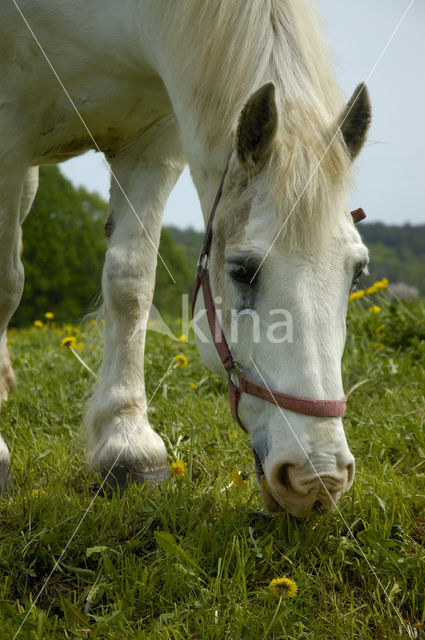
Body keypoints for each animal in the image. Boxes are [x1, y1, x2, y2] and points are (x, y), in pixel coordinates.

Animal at [0, 0, 368, 516]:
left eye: (357, 273)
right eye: (242, 270)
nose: (317, 478)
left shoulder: (153, 144)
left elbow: (130, 283)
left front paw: (127, 445)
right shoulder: (8, 131)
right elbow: (5, 284)